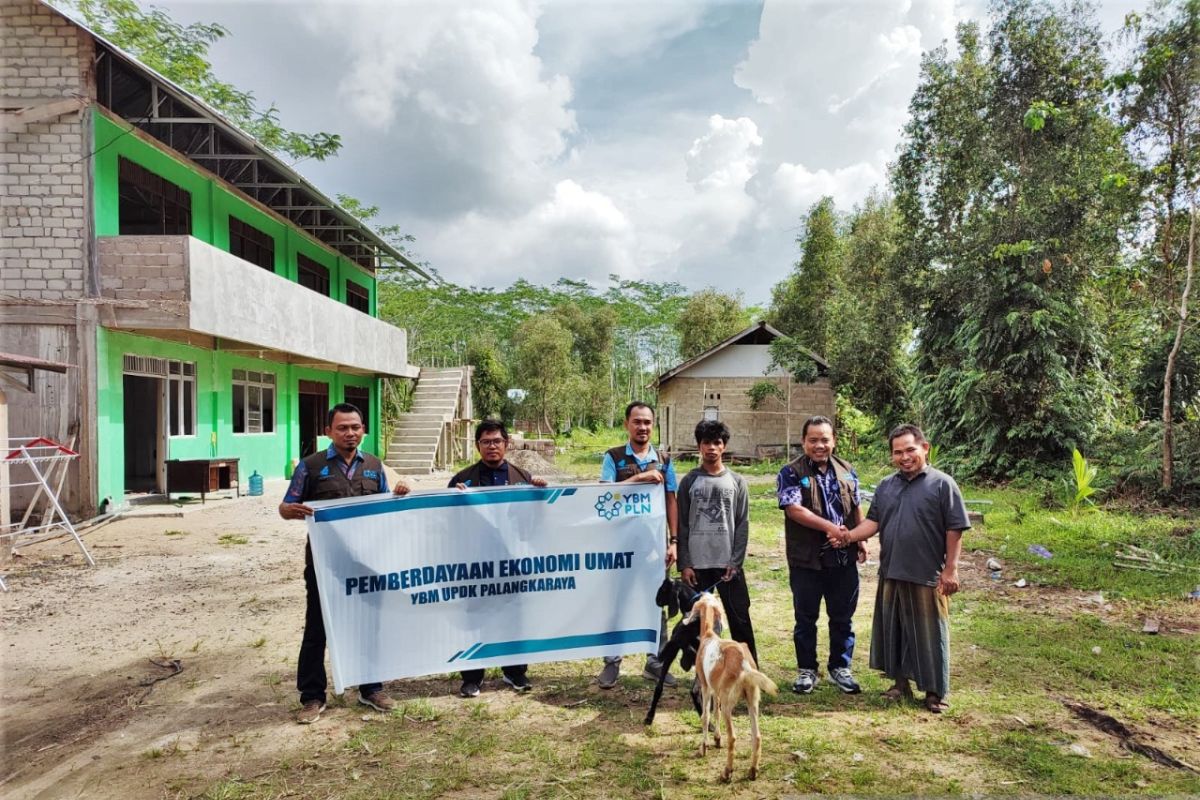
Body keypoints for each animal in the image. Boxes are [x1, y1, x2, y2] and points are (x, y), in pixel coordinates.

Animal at [686, 594, 777, 782]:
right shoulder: (716, 690)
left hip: (730, 702)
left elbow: (705, 716)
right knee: (757, 736)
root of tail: (744, 664)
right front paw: (716, 739)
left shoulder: (706, 686)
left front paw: (704, 747)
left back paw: (727, 772)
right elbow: (716, 712)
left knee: (733, 737)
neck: (709, 635)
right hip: (752, 700)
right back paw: (752, 771)